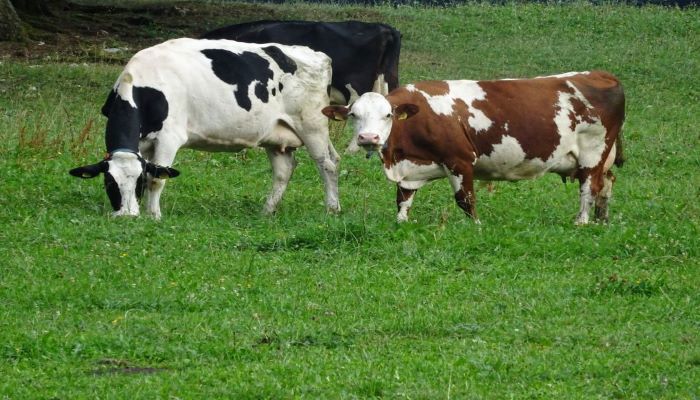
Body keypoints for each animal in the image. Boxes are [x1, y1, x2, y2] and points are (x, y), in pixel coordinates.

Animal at [69, 38, 340, 219]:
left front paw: (154, 216)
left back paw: (332, 208)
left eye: (131, 183)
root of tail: (317, 54)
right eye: (109, 183)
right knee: (284, 171)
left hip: (312, 124)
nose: (126, 215)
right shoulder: (143, 144)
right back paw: (267, 211)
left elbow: (156, 179)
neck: (144, 86)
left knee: (327, 165)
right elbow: (150, 173)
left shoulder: (169, 138)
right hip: (276, 135)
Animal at [326, 70, 628, 223]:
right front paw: (402, 223)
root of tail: (601, 74)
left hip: (592, 153)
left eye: (387, 115)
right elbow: (403, 200)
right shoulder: (410, 168)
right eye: (354, 115)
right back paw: (602, 220)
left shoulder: (459, 160)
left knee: (589, 187)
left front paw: (476, 226)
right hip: (599, 158)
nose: (368, 138)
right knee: (607, 183)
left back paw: (582, 221)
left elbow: (465, 200)